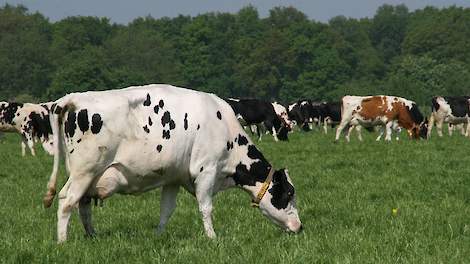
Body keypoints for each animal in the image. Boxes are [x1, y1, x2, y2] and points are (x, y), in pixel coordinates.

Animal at [43, 85, 302, 243]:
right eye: (289, 193)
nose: (300, 227)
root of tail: (72, 98)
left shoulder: (173, 177)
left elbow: (166, 210)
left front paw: (158, 235)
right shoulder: (206, 171)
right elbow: (206, 208)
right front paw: (212, 237)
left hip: (89, 176)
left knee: (83, 205)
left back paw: (92, 236)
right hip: (84, 171)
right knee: (67, 201)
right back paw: (63, 241)